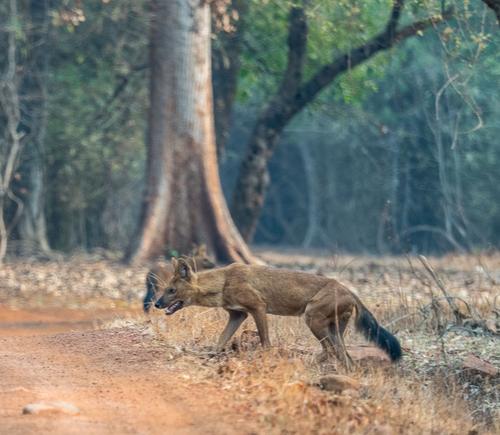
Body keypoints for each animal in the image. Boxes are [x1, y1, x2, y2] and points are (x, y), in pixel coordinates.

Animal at [154, 258, 400, 368]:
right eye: (165, 289)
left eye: (171, 290)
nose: (156, 303)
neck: (223, 282)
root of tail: (350, 290)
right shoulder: (237, 314)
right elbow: (221, 339)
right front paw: (210, 356)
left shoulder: (258, 307)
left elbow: (265, 341)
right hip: (333, 327)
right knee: (342, 354)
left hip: (312, 317)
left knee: (331, 351)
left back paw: (308, 363)